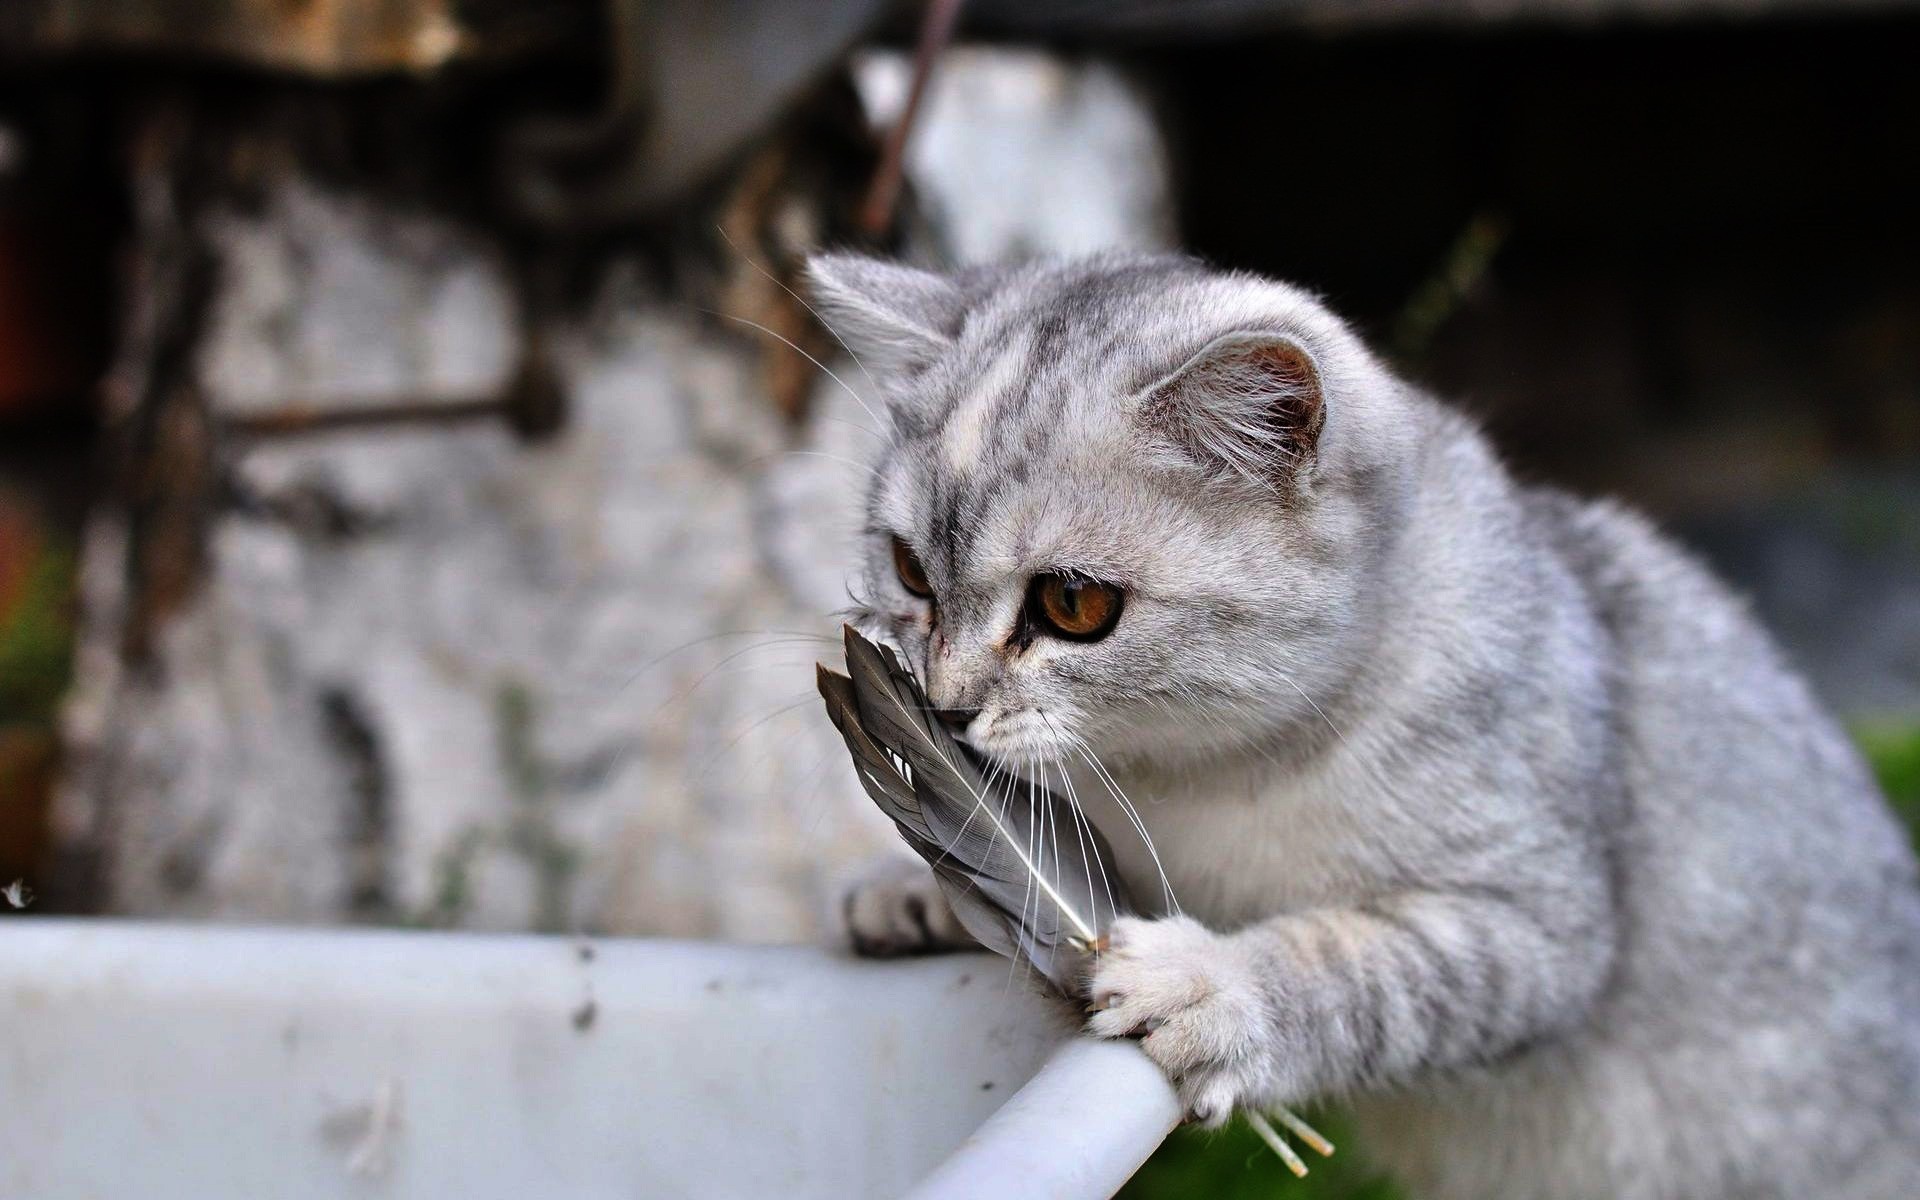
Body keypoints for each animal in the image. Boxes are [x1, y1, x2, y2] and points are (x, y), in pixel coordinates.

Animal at [806, 247, 1920, 1190]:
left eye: (1073, 604)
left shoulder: (1535, 923)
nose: (943, 707)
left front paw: (1216, 987)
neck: (1187, 781)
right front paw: (912, 888)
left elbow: (1354, 965)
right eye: (909, 571)